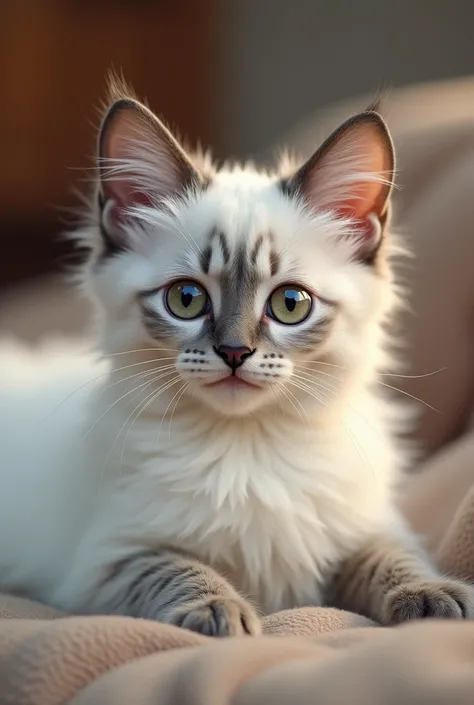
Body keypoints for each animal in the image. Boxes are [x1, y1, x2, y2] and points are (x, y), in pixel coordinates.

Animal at [0, 80, 474, 636]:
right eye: (186, 299)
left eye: (290, 304)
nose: (234, 352)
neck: (249, 448)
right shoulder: (106, 560)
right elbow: (179, 568)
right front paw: (219, 612)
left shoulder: (361, 528)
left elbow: (391, 558)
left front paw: (434, 597)